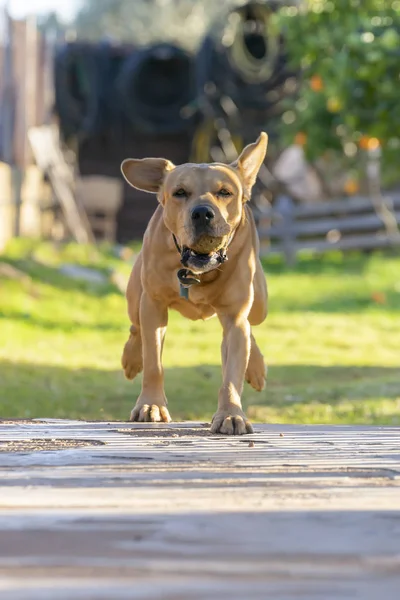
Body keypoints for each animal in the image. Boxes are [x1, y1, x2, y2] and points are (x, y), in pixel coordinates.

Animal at [120, 131, 268, 434]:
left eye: (225, 192)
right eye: (180, 192)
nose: (202, 213)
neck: (197, 270)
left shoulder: (235, 316)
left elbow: (232, 372)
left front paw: (230, 414)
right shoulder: (153, 305)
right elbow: (153, 362)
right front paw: (151, 405)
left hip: (260, 303)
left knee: (250, 328)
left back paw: (256, 367)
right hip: (135, 295)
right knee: (135, 326)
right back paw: (131, 358)